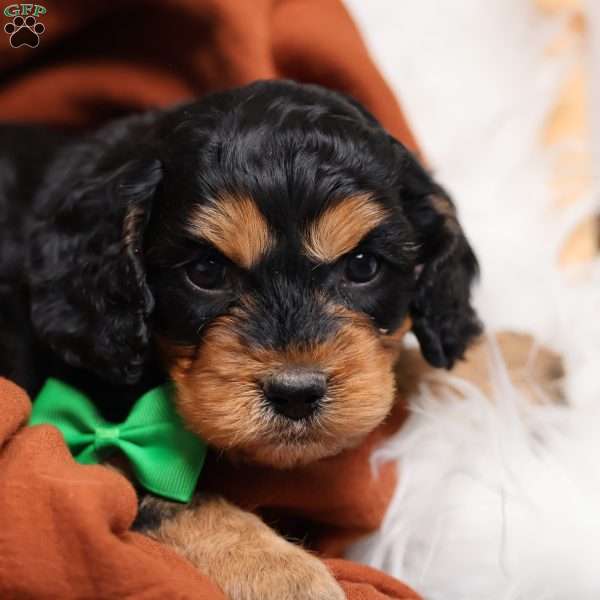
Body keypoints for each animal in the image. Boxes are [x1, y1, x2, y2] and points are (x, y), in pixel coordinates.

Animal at [0, 81, 480, 600]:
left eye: (363, 266)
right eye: (206, 271)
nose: (296, 394)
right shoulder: (75, 445)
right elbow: (179, 500)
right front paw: (290, 576)